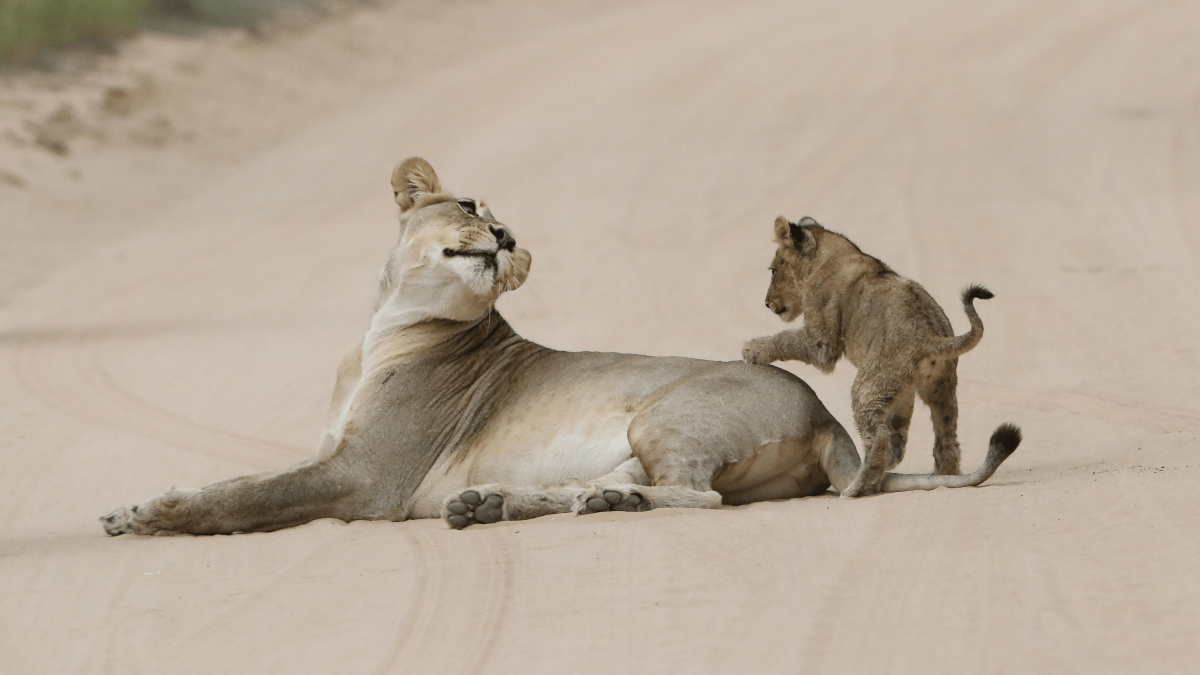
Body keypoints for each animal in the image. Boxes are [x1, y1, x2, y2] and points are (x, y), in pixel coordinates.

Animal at [742, 216, 1021, 498]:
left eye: (774, 270)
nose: (767, 303)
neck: (828, 254)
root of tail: (928, 337)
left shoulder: (822, 343)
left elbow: (787, 339)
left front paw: (752, 350)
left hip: (868, 387)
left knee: (878, 440)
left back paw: (857, 487)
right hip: (933, 390)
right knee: (941, 439)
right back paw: (940, 476)